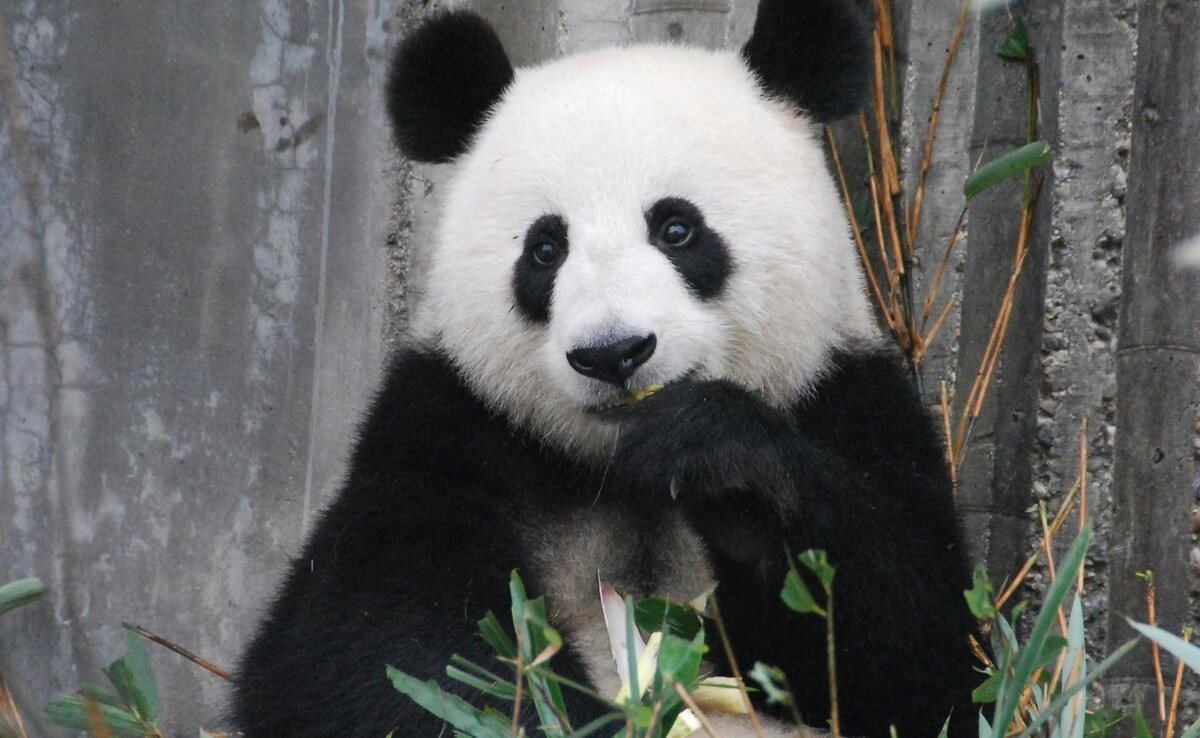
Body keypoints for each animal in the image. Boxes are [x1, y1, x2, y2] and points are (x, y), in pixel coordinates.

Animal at [232, 1, 983, 736]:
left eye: (677, 229)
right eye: (544, 249)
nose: (613, 352)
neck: (614, 469)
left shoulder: (845, 397)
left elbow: (916, 648)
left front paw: (721, 465)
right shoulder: (445, 429)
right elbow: (373, 646)